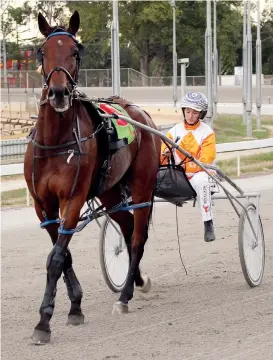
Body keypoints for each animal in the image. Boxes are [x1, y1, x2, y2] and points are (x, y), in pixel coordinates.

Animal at [23, 10, 159, 344]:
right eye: (42, 52)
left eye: (75, 51)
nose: (59, 93)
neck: (56, 142)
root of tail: (142, 114)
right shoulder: (43, 206)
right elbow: (62, 254)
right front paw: (75, 306)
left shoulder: (73, 198)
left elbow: (57, 258)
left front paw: (44, 322)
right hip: (110, 193)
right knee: (126, 228)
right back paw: (138, 280)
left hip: (142, 186)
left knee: (138, 237)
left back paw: (124, 297)